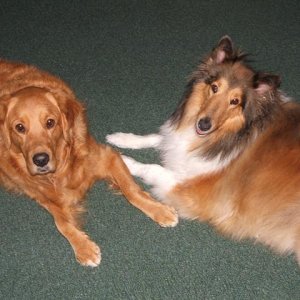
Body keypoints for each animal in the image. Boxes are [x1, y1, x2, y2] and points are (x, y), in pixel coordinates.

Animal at [0, 58, 178, 268]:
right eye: (19, 127)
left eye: (50, 122)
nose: (41, 160)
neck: (61, 169)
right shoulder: (42, 196)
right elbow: (62, 223)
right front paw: (83, 247)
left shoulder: (107, 157)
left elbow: (131, 191)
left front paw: (160, 210)